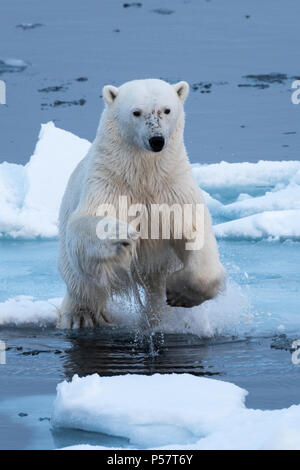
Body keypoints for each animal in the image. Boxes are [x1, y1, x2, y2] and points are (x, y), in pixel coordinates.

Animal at [57, 78, 224, 326]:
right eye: (136, 112)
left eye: (166, 110)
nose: (156, 140)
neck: (143, 174)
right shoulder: (109, 180)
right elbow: (88, 221)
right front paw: (120, 232)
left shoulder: (173, 186)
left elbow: (194, 230)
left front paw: (178, 294)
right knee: (83, 285)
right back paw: (81, 317)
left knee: (155, 293)